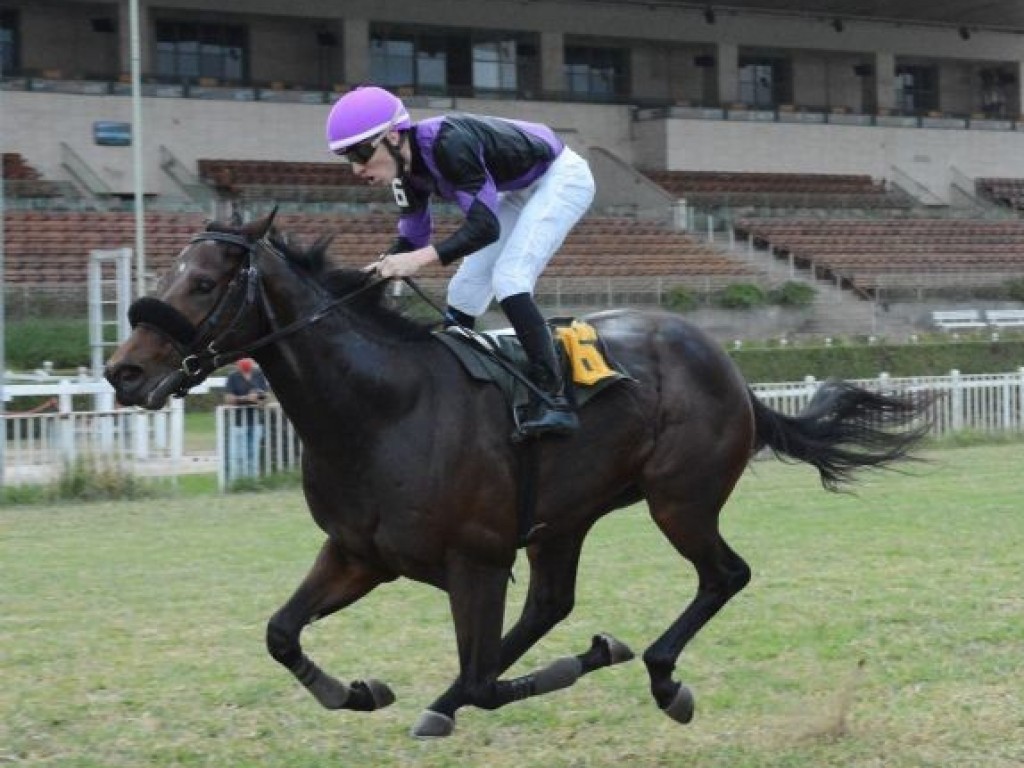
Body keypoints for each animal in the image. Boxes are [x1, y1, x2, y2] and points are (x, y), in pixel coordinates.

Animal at [101, 210, 929, 741]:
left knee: (724, 575)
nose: (122, 371)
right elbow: (281, 633)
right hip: (566, 519)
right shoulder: (359, 552)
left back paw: (663, 677)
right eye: (168, 271)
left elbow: (479, 678)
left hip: (680, 501)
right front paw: (360, 691)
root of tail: (725, 364)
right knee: (551, 604)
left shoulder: (476, 559)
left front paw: (589, 659)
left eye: (204, 283)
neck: (382, 408)